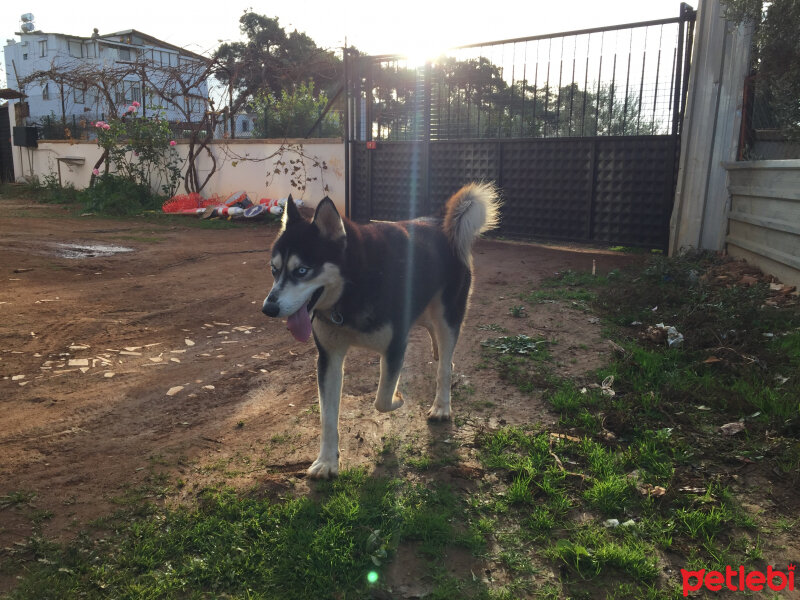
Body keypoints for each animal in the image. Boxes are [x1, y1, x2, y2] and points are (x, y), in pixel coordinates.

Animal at [262, 183, 500, 478]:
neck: (354, 286)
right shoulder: (329, 358)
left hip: (448, 315)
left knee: (445, 365)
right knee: (434, 338)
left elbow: (382, 399)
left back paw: (442, 405)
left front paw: (399, 398)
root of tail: (441, 223)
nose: (268, 308)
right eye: (274, 270)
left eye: (302, 271)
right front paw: (327, 462)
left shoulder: (395, 346)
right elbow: (327, 417)